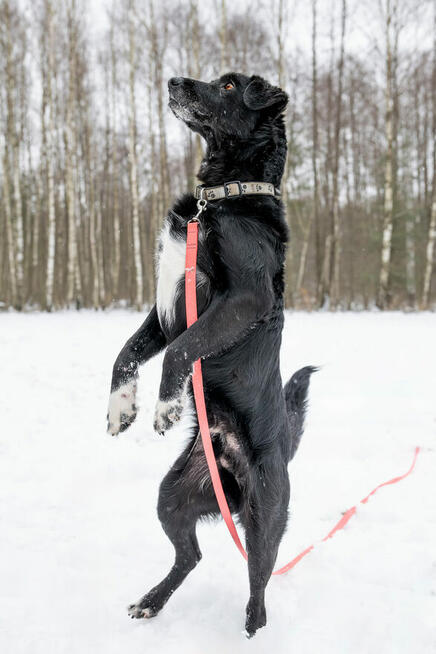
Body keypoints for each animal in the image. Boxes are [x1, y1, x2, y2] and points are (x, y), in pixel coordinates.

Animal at [107, 73, 316, 640]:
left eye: (227, 85)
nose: (174, 79)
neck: (222, 199)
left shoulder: (242, 299)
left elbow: (181, 351)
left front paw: (166, 408)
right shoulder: (164, 313)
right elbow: (127, 353)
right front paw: (122, 410)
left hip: (265, 518)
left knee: (258, 584)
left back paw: (250, 631)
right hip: (173, 496)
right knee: (191, 557)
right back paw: (151, 602)